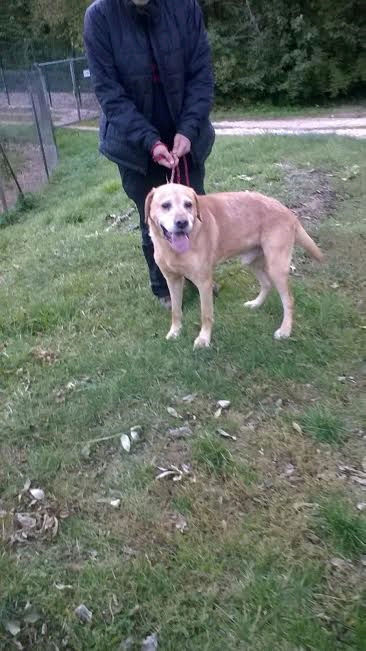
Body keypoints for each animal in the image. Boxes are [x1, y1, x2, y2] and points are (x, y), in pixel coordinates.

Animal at [145, 183, 324, 348]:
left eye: (188, 204)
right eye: (165, 205)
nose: (182, 223)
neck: (172, 249)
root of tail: (287, 210)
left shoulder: (204, 282)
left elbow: (206, 314)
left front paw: (204, 339)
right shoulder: (172, 279)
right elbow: (175, 311)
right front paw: (175, 332)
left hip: (276, 267)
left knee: (288, 300)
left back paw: (285, 330)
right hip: (252, 260)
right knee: (266, 284)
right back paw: (256, 304)